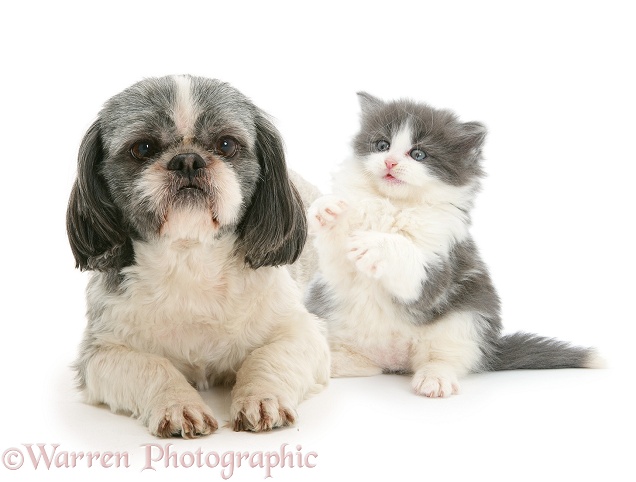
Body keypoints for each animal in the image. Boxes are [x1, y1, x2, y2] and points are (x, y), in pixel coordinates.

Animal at [67, 74, 330, 436]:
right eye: (142, 148)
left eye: (226, 145)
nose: (188, 159)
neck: (190, 259)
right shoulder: (102, 352)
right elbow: (153, 367)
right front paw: (178, 405)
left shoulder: (300, 332)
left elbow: (267, 358)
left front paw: (262, 398)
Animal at [306, 92, 600, 398]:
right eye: (382, 145)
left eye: (418, 154)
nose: (389, 163)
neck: (395, 204)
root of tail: (394, 361)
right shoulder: (338, 274)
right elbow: (336, 256)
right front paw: (326, 209)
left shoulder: (440, 268)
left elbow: (407, 256)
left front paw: (376, 246)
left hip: (468, 318)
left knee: (446, 359)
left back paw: (435, 378)